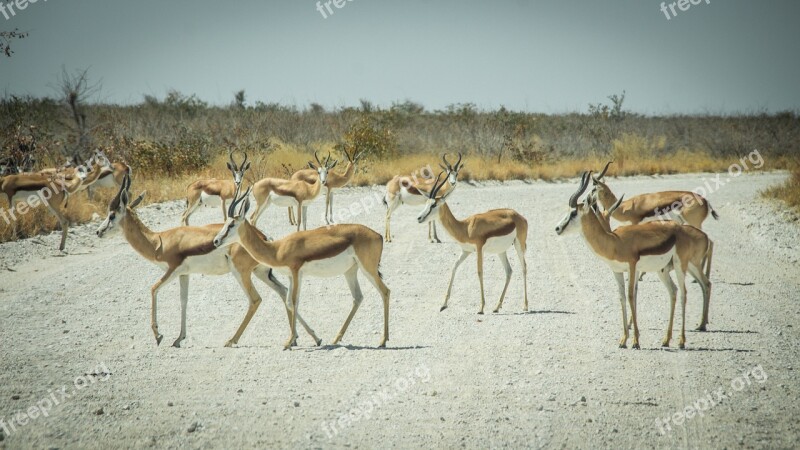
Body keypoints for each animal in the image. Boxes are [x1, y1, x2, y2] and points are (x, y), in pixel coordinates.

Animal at [98, 175, 324, 348]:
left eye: (112, 215)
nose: (98, 232)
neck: (159, 241)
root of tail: (264, 237)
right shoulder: (184, 274)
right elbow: (183, 301)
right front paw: (178, 338)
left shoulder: (172, 269)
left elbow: (153, 289)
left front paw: (159, 335)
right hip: (261, 272)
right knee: (284, 292)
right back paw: (309, 337)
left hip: (241, 273)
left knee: (255, 300)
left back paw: (232, 340)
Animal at [211, 185, 390, 350]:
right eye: (224, 223)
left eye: (232, 224)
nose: (216, 241)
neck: (277, 249)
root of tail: (378, 235)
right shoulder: (291, 276)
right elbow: (289, 302)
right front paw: (296, 340)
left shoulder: (296, 272)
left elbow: (295, 301)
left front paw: (290, 341)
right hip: (350, 271)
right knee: (358, 297)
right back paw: (336, 339)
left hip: (368, 269)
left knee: (385, 291)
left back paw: (383, 340)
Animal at [416, 171, 528, 314]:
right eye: (426, 203)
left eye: (434, 205)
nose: (419, 218)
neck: (465, 227)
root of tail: (520, 217)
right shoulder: (466, 251)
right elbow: (454, 267)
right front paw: (443, 305)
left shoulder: (479, 249)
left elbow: (479, 272)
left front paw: (481, 307)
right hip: (501, 251)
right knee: (509, 271)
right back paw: (497, 307)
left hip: (519, 245)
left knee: (524, 268)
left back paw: (525, 306)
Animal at [556, 171, 712, 348]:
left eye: (573, 213)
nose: (557, 228)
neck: (615, 242)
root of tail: (700, 235)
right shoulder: (617, 271)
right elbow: (622, 297)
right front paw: (623, 340)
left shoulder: (632, 267)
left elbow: (631, 296)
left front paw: (636, 341)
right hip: (666, 270)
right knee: (678, 290)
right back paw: (668, 339)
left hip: (681, 266)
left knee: (685, 292)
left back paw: (682, 340)